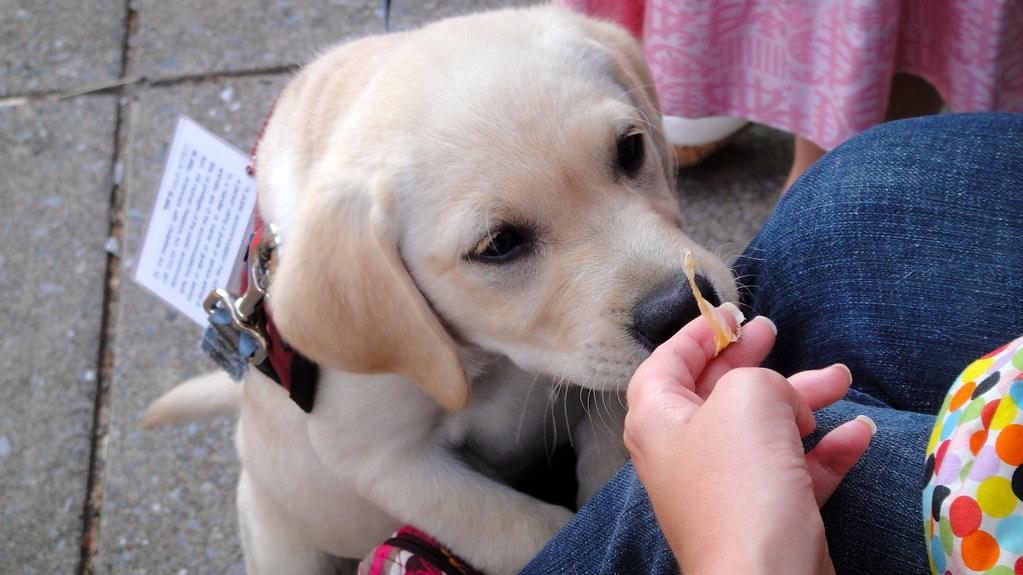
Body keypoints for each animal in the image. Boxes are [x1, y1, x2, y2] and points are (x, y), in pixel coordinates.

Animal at [144, 5, 736, 572]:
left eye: (631, 149)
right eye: (498, 244)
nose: (680, 310)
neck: (498, 361)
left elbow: (610, 447)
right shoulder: (383, 458)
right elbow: (520, 529)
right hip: (283, 547)